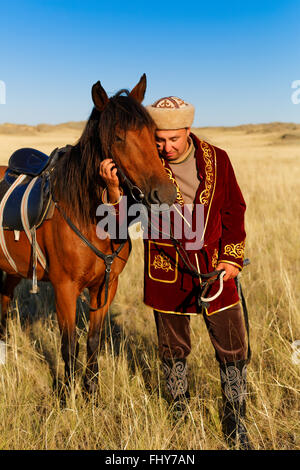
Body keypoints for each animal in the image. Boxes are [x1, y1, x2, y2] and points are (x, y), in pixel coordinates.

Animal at [0, 75, 177, 392]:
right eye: (118, 137)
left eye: (153, 133)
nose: (165, 194)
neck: (92, 217)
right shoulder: (65, 288)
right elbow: (69, 345)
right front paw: (67, 394)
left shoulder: (106, 286)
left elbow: (93, 341)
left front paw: (91, 389)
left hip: (14, 270)